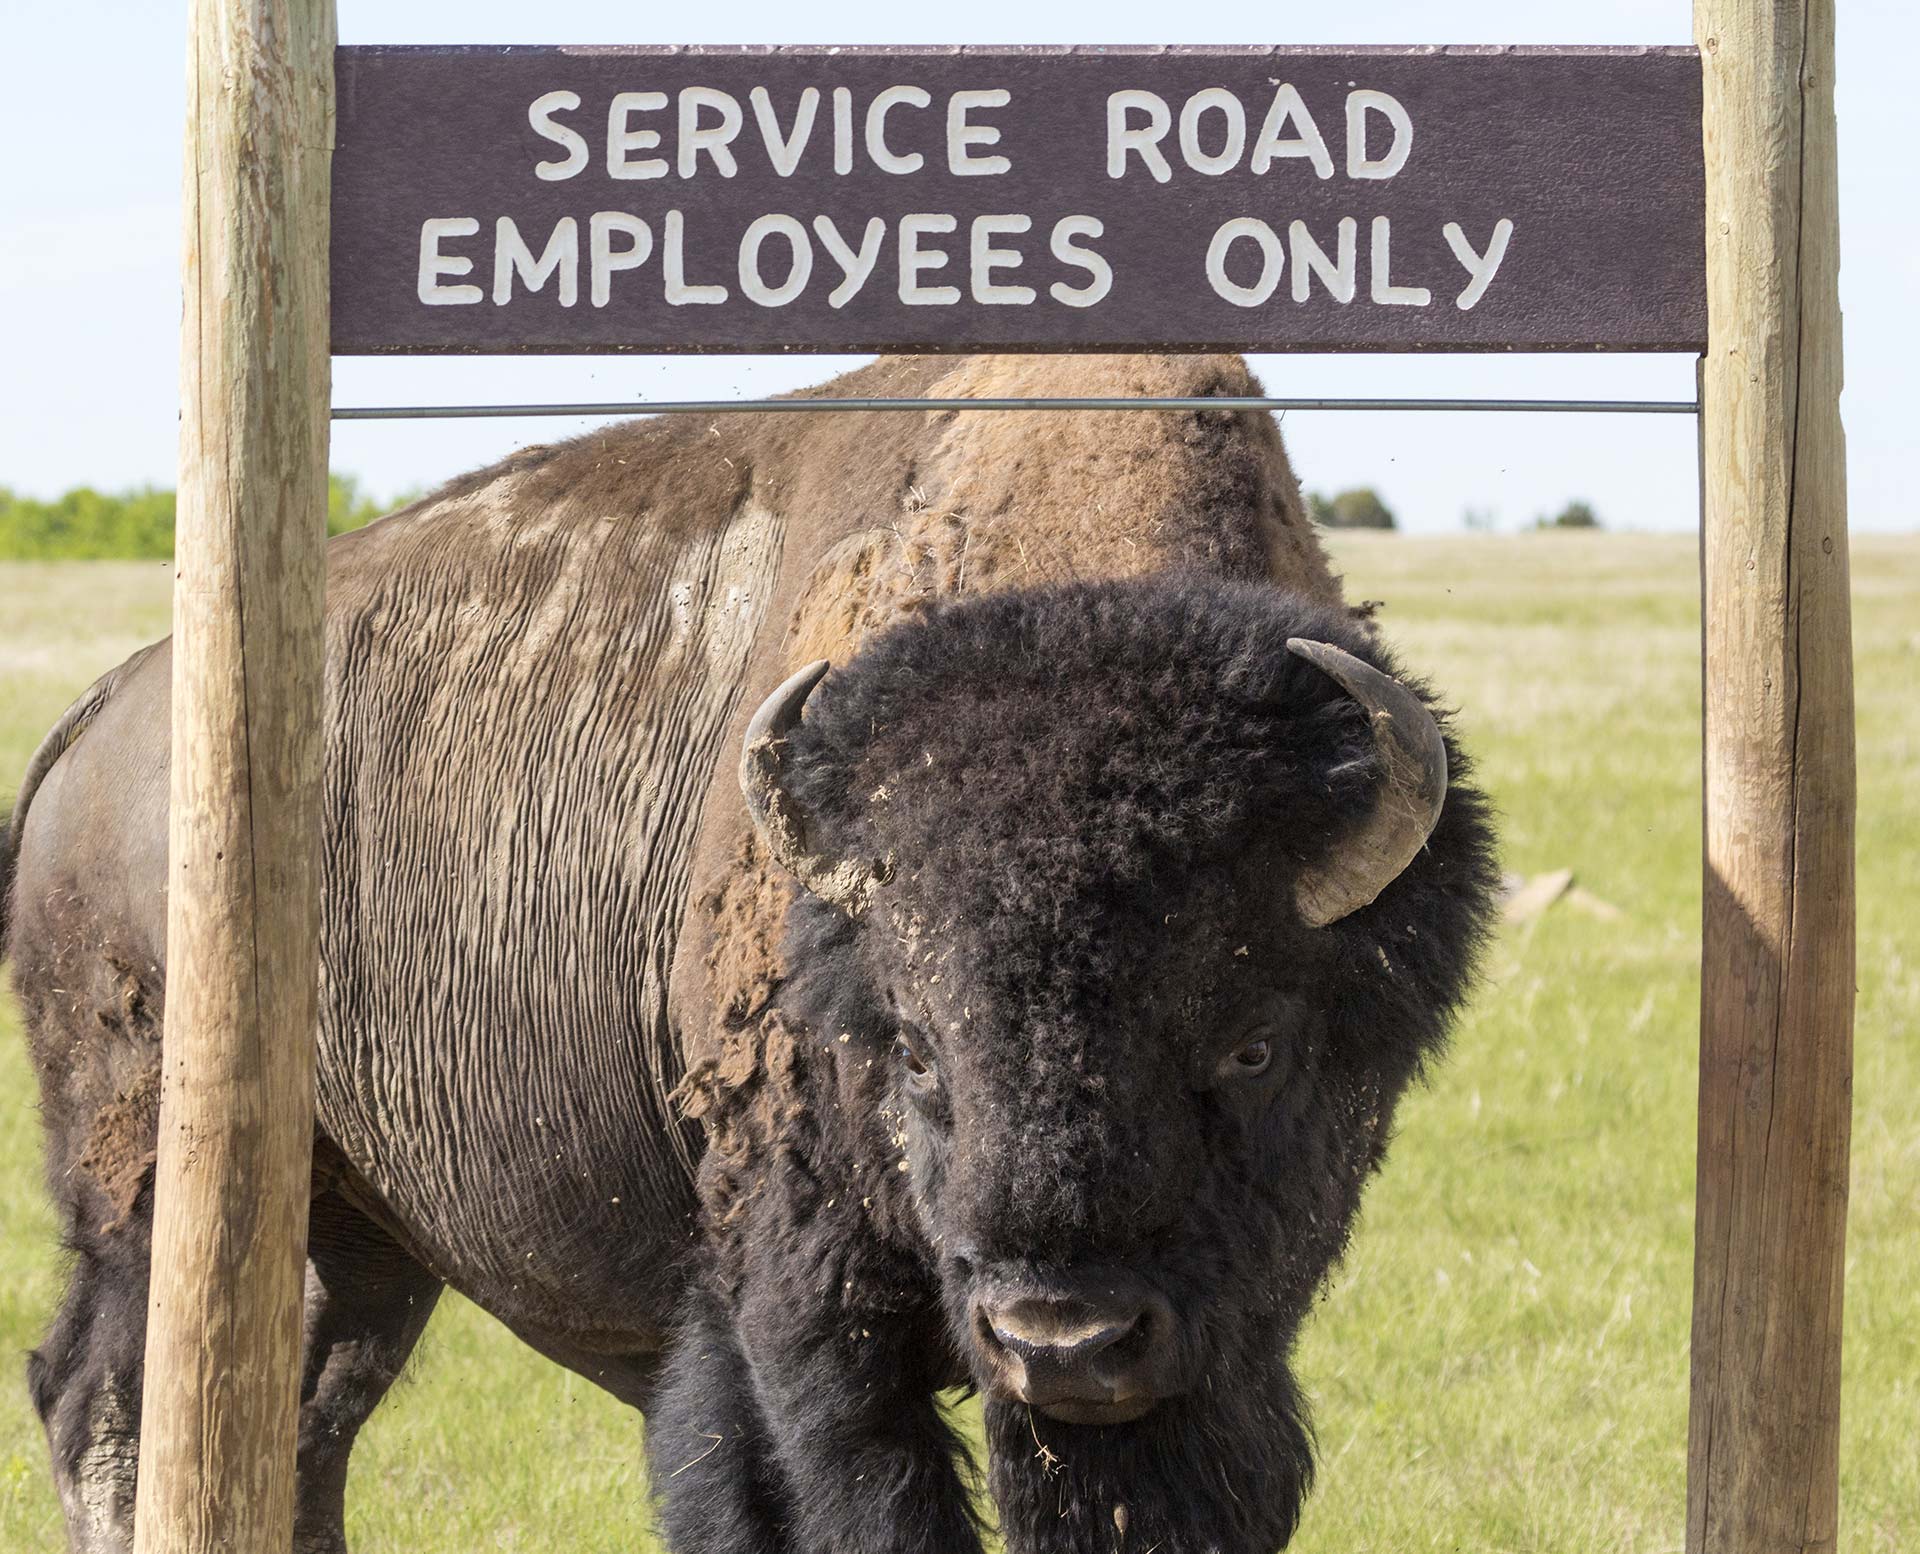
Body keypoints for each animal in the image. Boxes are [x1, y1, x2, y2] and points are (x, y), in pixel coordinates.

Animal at [3, 354, 1497, 1554]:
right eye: (911, 1042)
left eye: (1253, 1041)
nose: (1062, 1334)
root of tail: (102, 716)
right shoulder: (802, 1306)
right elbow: (842, 1492)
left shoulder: (1207, 1342)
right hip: (146, 1176)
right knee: (107, 1398)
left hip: (358, 1228)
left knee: (304, 1409)